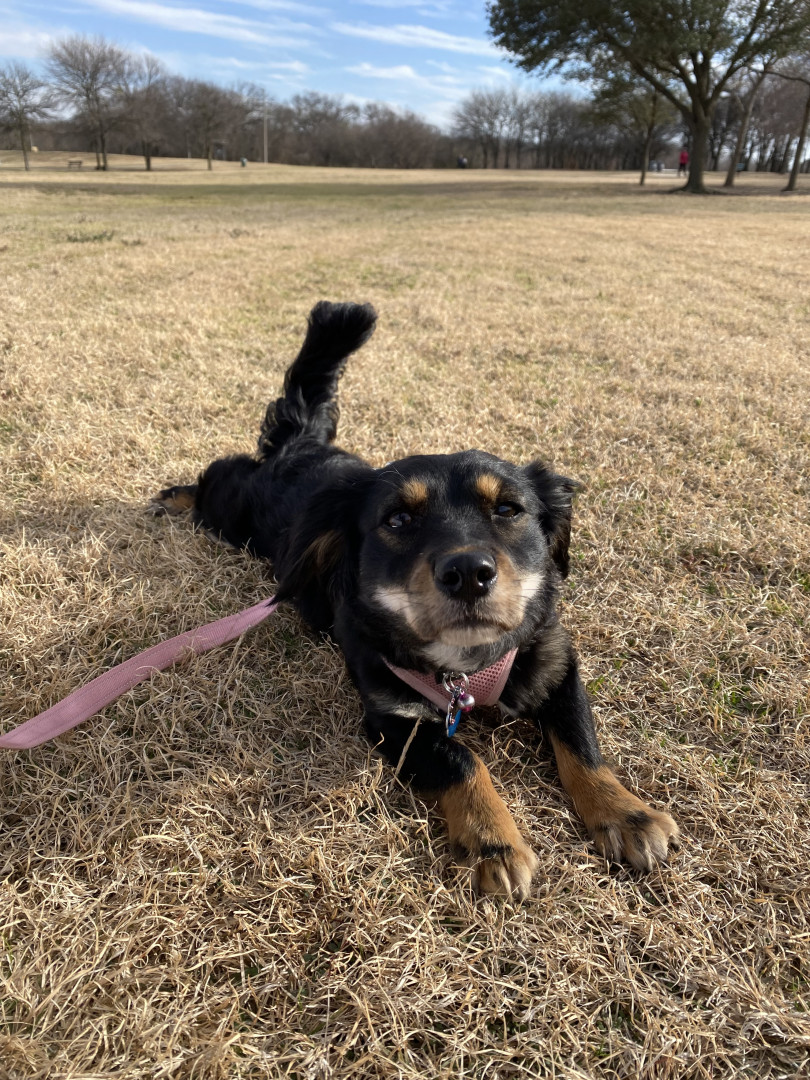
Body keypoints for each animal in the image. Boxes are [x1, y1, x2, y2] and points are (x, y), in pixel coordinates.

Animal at [151, 301, 678, 899]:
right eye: (398, 519)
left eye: (509, 510)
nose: (469, 573)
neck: (467, 669)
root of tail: (301, 446)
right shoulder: (394, 720)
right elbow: (463, 758)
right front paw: (495, 843)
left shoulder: (555, 668)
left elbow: (581, 743)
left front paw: (626, 816)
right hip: (233, 513)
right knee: (216, 476)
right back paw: (172, 497)